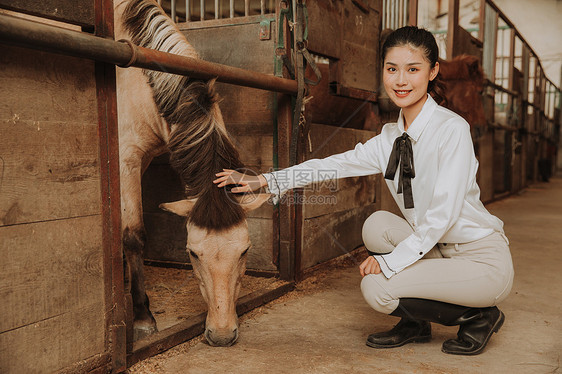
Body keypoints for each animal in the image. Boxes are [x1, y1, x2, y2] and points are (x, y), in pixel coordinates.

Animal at [112, 0, 270, 346]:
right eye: (192, 254)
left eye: (245, 251)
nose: (222, 335)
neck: (142, 81)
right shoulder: (126, 158)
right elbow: (133, 235)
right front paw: (143, 317)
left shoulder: (142, 161)